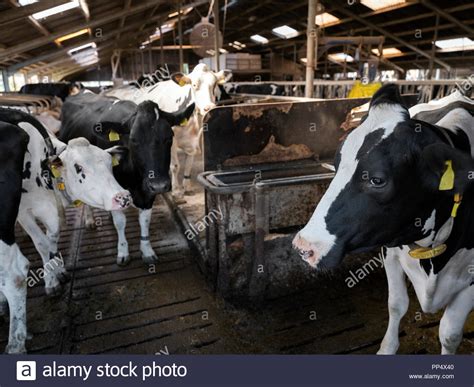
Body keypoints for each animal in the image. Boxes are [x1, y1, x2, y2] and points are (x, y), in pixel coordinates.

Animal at [0, 109, 131, 298]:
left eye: (109, 164)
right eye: (78, 168)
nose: (123, 197)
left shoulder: (54, 213)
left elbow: (51, 240)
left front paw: (59, 271)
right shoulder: (23, 212)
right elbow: (42, 244)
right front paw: (51, 282)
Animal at [60, 91, 195, 266]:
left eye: (170, 137)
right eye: (133, 140)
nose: (159, 185)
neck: (134, 178)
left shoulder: (147, 190)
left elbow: (144, 221)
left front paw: (147, 251)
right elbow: (120, 222)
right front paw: (123, 252)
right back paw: (90, 220)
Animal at [294, 84, 472, 354]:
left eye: (377, 179)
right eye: (337, 163)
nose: (303, 246)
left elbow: (450, 334)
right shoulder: (390, 249)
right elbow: (396, 304)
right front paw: (386, 349)